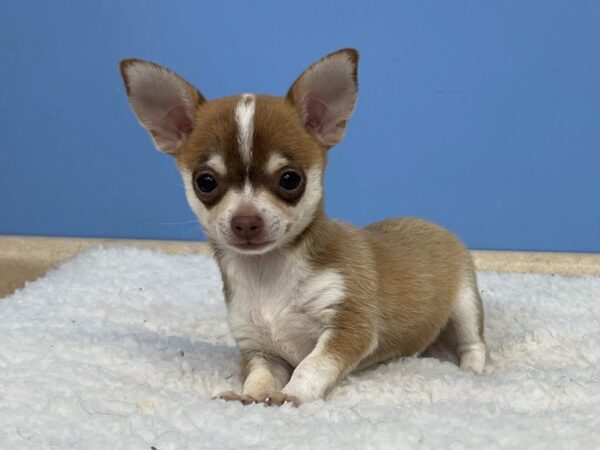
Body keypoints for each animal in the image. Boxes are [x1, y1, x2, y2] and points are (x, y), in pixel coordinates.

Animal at [119, 47, 486, 406]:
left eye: (290, 179)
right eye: (205, 182)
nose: (246, 221)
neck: (268, 272)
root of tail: (425, 221)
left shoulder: (348, 327)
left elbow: (313, 365)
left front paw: (292, 394)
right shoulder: (260, 349)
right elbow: (260, 376)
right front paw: (251, 396)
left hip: (466, 300)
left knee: (473, 341)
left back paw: (472, 373)